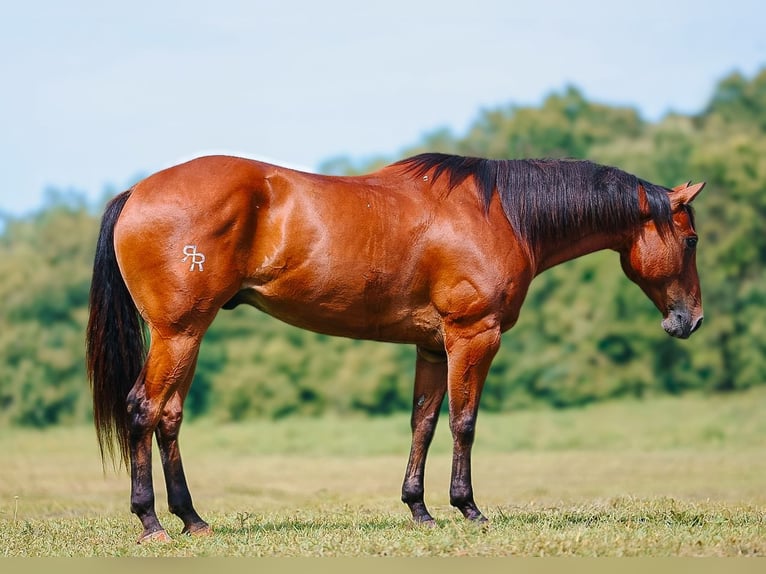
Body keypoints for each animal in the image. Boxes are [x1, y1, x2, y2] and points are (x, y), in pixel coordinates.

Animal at [86, 152, 705, 543]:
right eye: (693, 238)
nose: (690, 320)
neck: (501, 214)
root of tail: (137, 193)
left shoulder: (431, 346)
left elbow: (423, 422)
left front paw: (420, 509)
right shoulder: (472, 335)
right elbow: (464, 422)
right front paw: (468, 508)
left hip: (189, 335)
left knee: (168, 417)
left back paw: (191, 519)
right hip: (179, 332)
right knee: (143, 409)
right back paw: (152, 523)